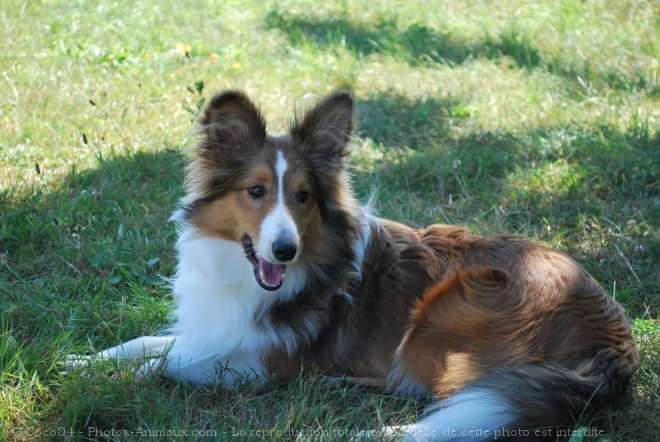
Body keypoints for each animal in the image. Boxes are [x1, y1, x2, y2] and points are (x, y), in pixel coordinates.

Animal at [71, 90, 640, 442]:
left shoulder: (262, 363)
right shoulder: (215, 329)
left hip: (446, 316)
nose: (284, 250)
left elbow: (164, 364)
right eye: (255, 191)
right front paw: (82, 361)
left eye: (303, 197)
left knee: (461, 404)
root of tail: (615, 338)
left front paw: (118, 378)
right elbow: (147, 342)